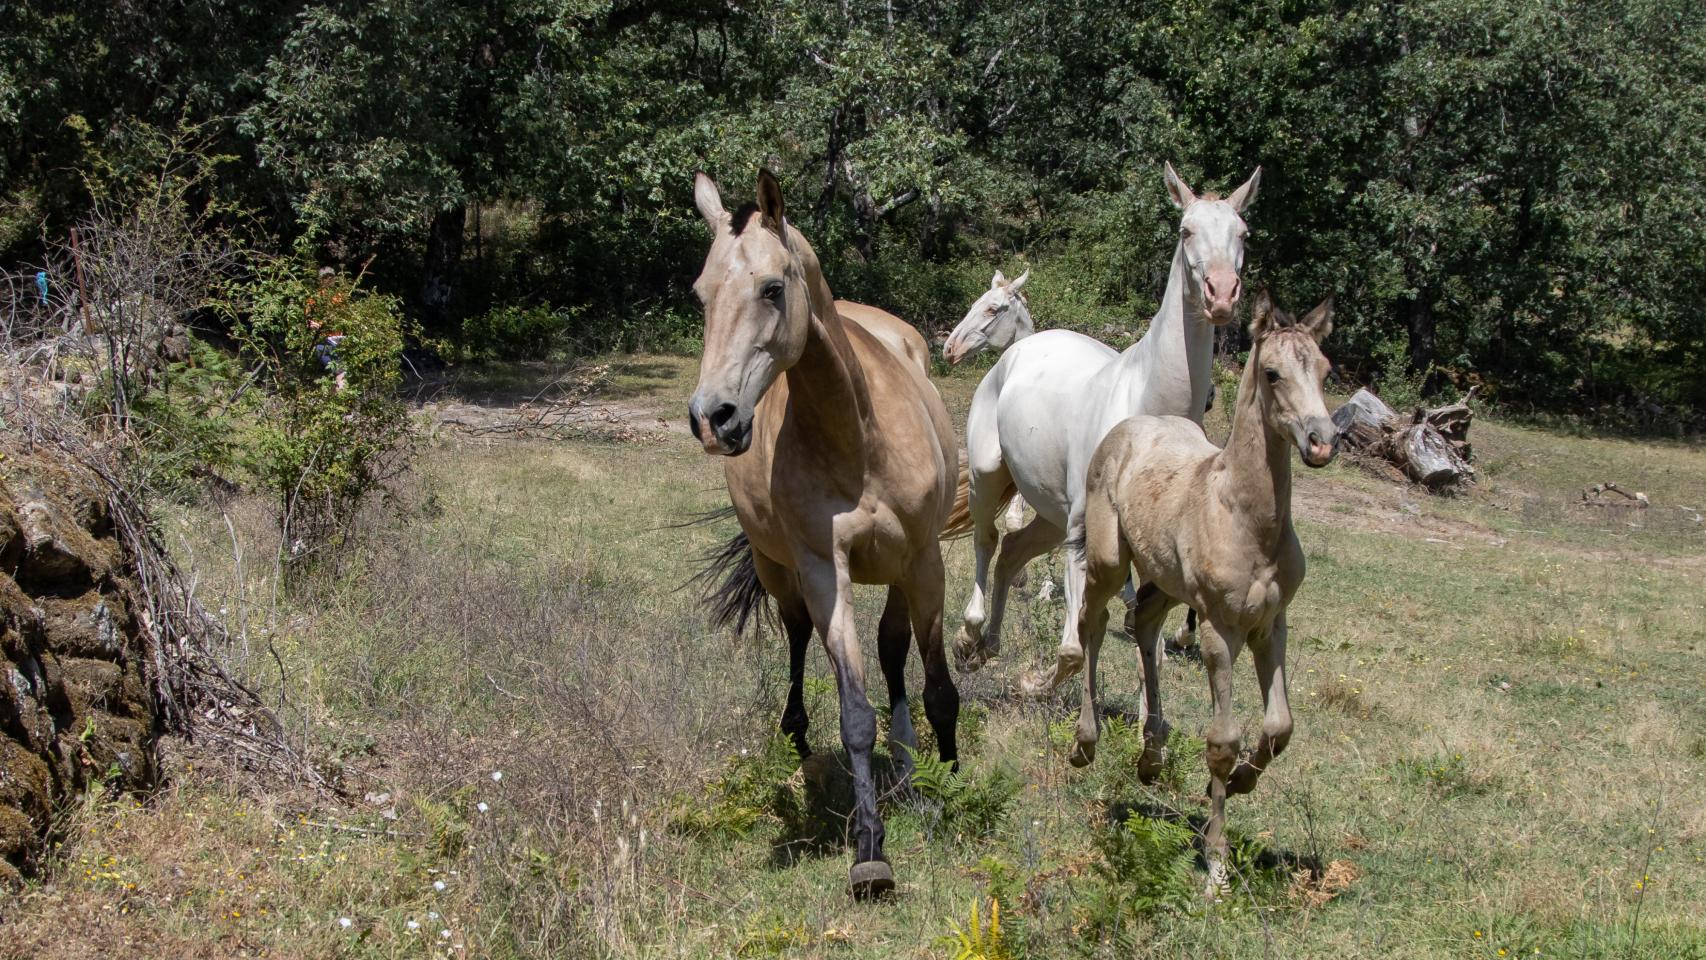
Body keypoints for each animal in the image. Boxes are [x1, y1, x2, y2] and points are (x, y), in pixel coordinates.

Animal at [686, 169, 961, 899]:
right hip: (781, 574)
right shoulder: (822, 571)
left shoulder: (924, 561)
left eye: (770, 289)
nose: (713, 419)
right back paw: (803, 745)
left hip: (898, 571)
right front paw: (869, 849)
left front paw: (949, 785)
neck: (857, 438)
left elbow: (937, 687)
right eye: (701, 294)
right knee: (799, 640)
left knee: (895, 653)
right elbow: (856, 713)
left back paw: (913, 772)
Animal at [949, 163, 1260, 699]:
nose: (1222, 293)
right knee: (987, 541)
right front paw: (1037, 682)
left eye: (1242, 233)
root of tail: (1016, 354)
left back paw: (987, 648)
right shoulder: (1083, 537)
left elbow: (1136, 640)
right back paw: (967, 639)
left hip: (1050, 515)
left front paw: (1036, 685)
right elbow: (1076, 647)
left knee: (1011, 553)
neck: (1148, 412)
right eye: (1186, 230)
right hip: (990, 479)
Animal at [1068, 291, 1337, 896]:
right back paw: (1085, 743)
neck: (1247, 520)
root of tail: (1129, 427)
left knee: (1144, 626)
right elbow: (1223, 740)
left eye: (1325, 370)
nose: (1321, 441)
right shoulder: (1220, 629)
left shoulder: (1271, 626)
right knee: (1092, 625)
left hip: (1167, 581)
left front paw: (1240, 784)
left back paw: (1151, 756)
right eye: (1272, 373)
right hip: (1109, 560)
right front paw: (1216, 864)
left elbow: (1279, 728)